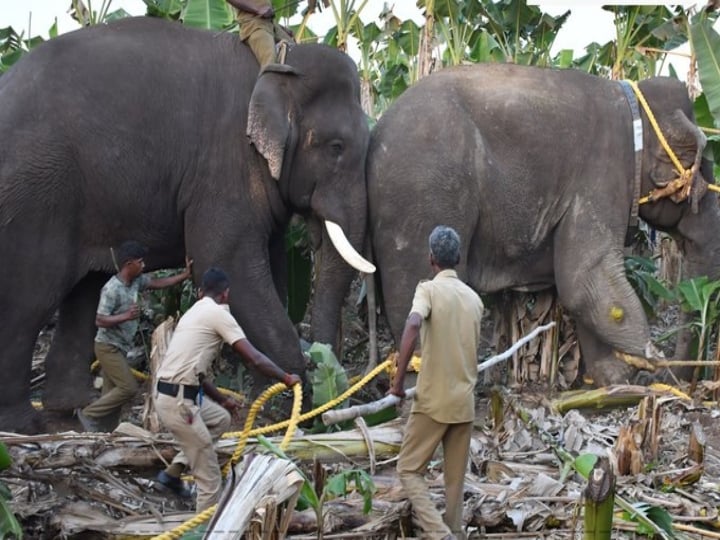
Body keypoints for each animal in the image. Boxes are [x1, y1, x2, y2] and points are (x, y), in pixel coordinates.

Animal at [0, 16, 374, 433]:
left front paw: (266, 404)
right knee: (31, 294)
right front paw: (287, 403)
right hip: (37, 190)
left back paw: (72, 415)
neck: (280, 58)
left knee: (85, 290)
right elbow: (226, 261)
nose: (325, 361)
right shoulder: (226, 165)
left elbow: (272, 270)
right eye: (336, 147)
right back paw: (24, 425)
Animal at [367, 63, 719, 387]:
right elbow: (584, 278)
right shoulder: (603, 174)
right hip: (424, 198)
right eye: (701, 167)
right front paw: (648, 372)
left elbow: (582, 285)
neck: (635, 105)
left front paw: (614, 381)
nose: (678, 378)